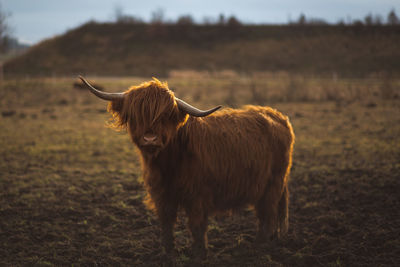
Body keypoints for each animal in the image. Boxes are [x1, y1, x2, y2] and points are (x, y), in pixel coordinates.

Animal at [79, 76, 296, 260]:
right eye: (136, 114)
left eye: (165, 115)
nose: (150, 139)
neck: (168, 164)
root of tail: (276, 115)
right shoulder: (161, 194)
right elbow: (166, 223)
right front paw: (168, 252)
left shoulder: (198, 195)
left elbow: (197, 225)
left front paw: (199, 253)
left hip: (273, 183)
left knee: (268, 213)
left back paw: (259, 246)